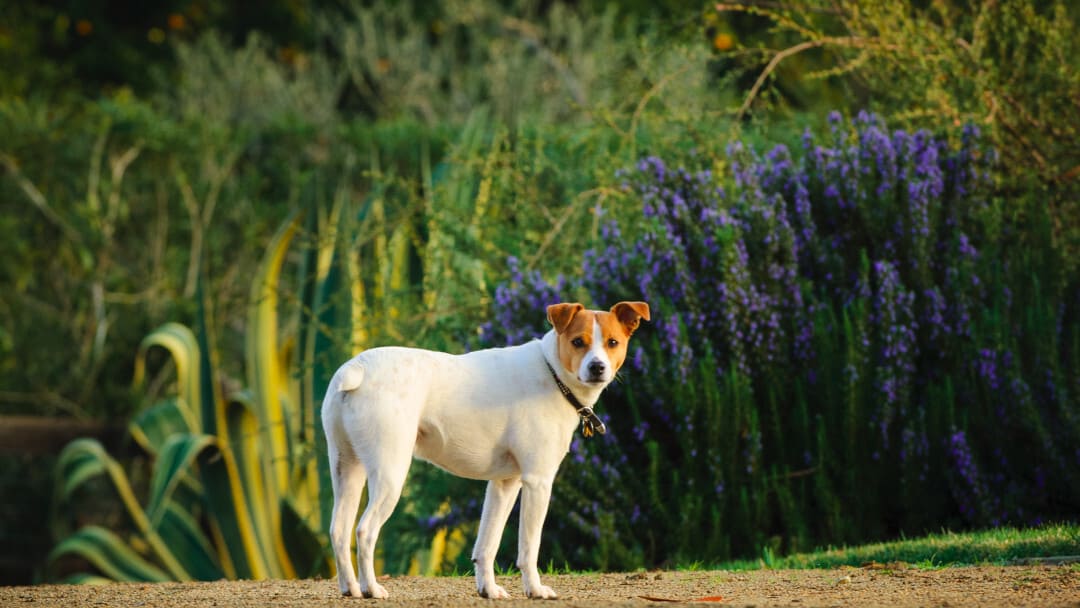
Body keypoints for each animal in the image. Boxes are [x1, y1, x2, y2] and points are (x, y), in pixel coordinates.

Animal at [319, 300, 648, 600]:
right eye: (578, 341)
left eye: (613, 342)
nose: (597, 367)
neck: (552, 373)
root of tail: (357, 368)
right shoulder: (537, 481)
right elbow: (529, 547)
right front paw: (535, 590)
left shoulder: (504, 484)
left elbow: (487, 544)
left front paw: (488, 590)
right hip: (390, 474)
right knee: (364, 531)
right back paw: (371, 589)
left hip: (347, 469)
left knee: (339, 530)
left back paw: (350, 588)